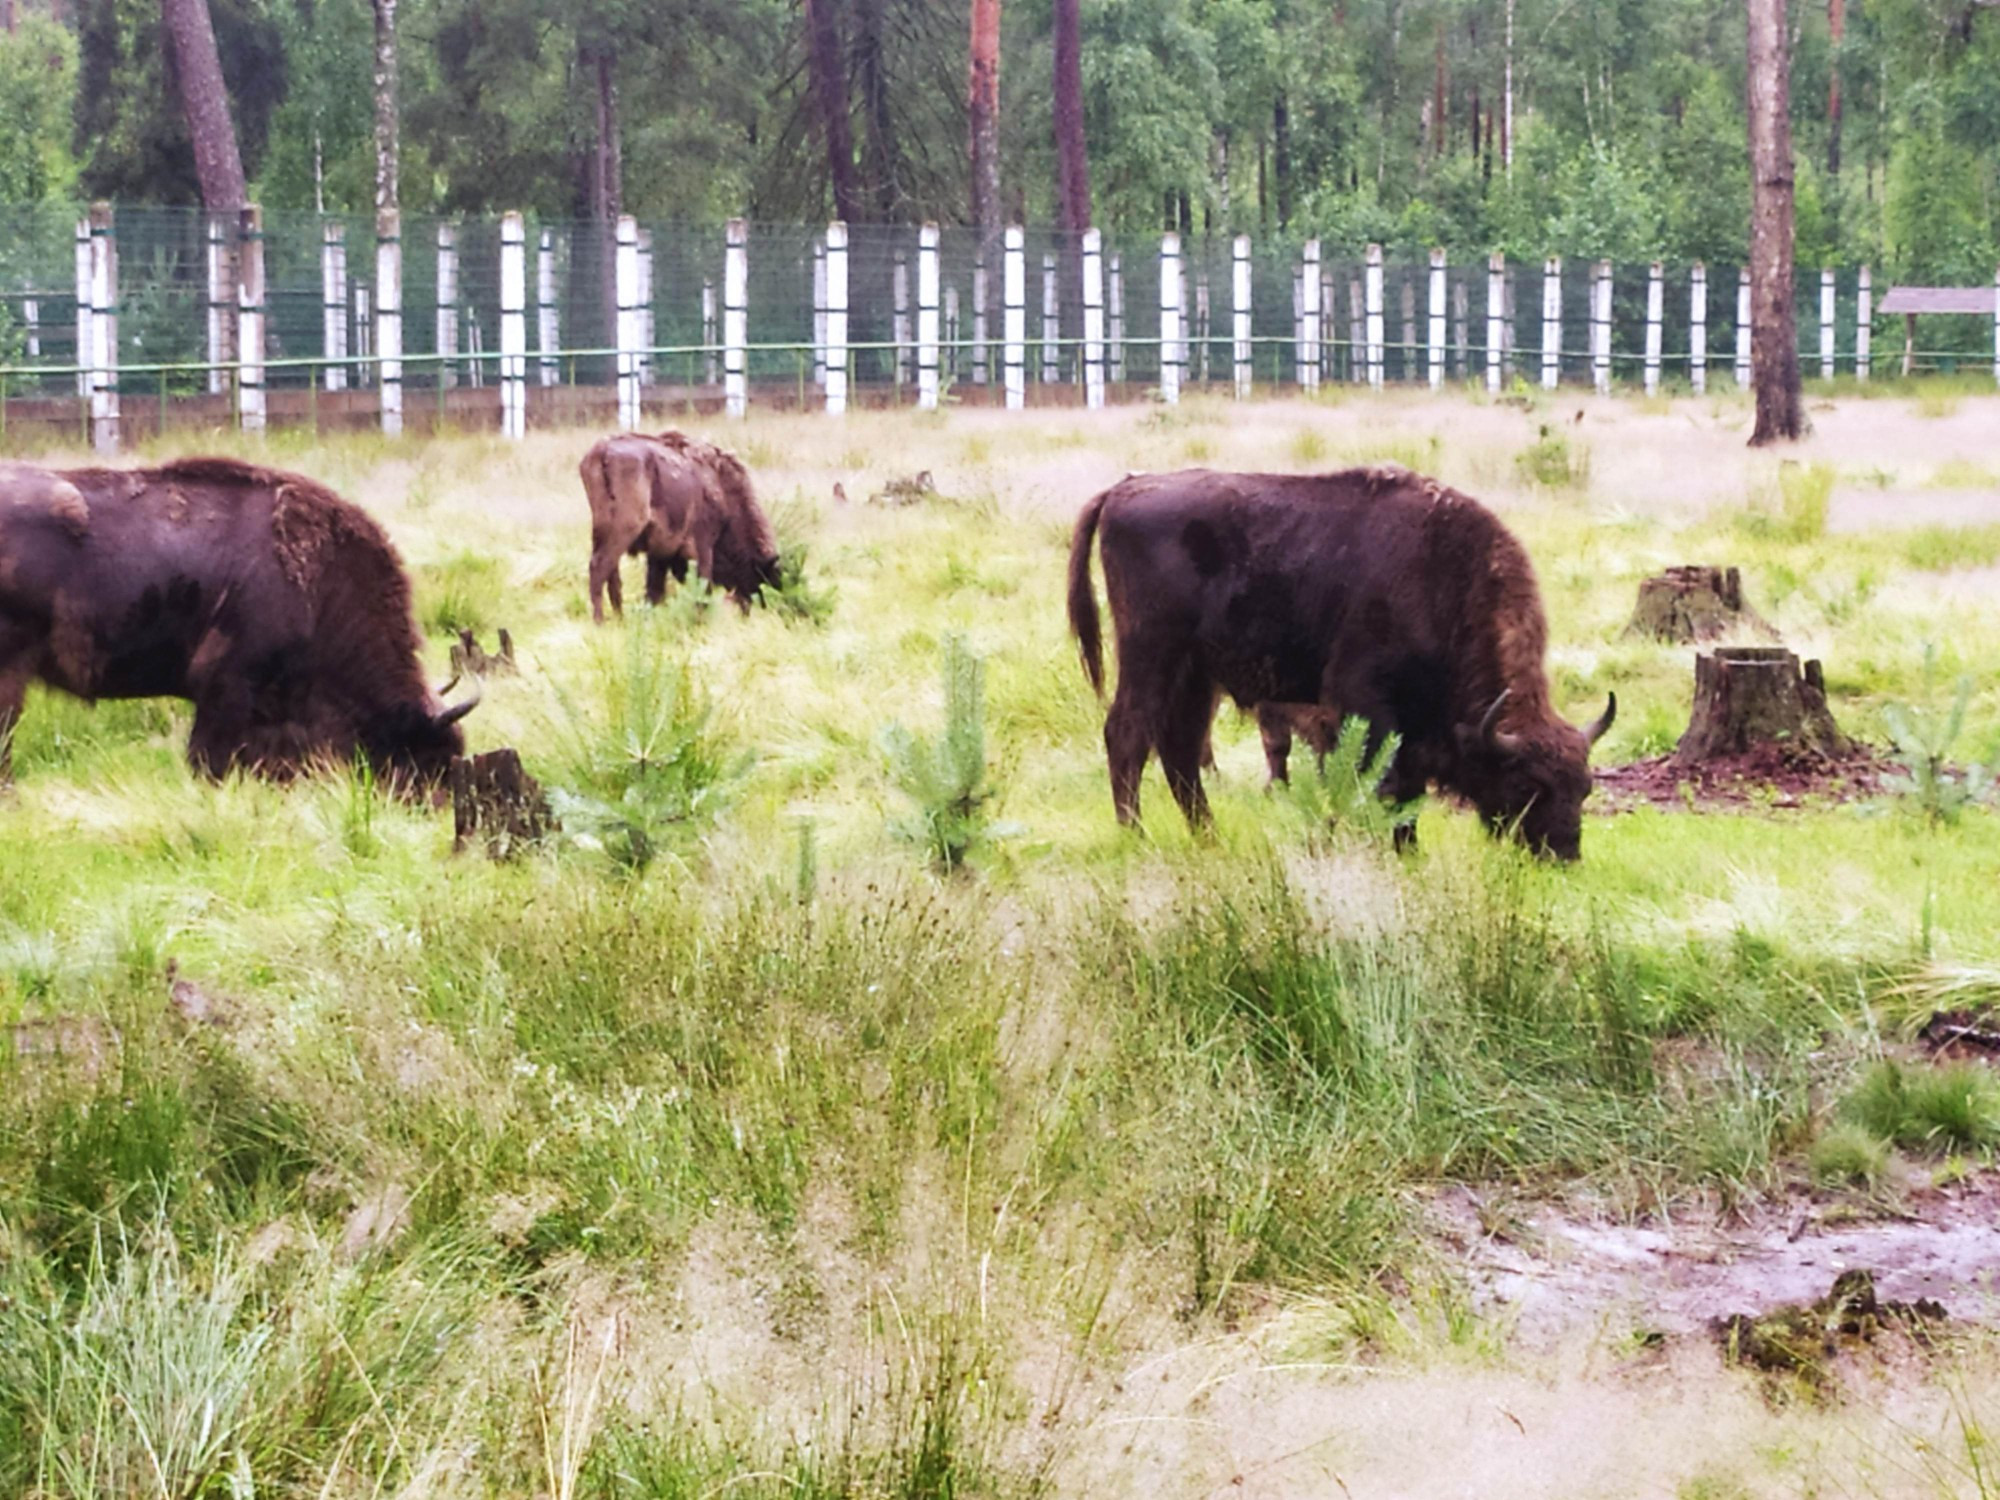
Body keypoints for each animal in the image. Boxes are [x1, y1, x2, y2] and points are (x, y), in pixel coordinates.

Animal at [580, 428, 780, 624]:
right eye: (755, 575)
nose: (746, 610)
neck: (722, 490)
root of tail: (601, 451)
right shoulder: (703, 547)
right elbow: (702, 586)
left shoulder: (659, 554)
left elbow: (654, 590)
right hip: (624, 530)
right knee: (598, 568)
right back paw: (599, 621)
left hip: (603, 534)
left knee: (612, 576)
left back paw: (619, 618)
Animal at [1072, 464, 1616, 864]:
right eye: (1528, 785)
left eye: (1585, 787)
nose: (1563, 855)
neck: (1443, 580)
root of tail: (1125, 488)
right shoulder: (1362, 702)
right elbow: (1374, 778)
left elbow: (1406, 789)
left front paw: (1407, 850)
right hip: (1150, 654)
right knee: (1127, 735)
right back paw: (1136, 836)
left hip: (1196, 674)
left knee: (1179, 750)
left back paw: (1209, 837)